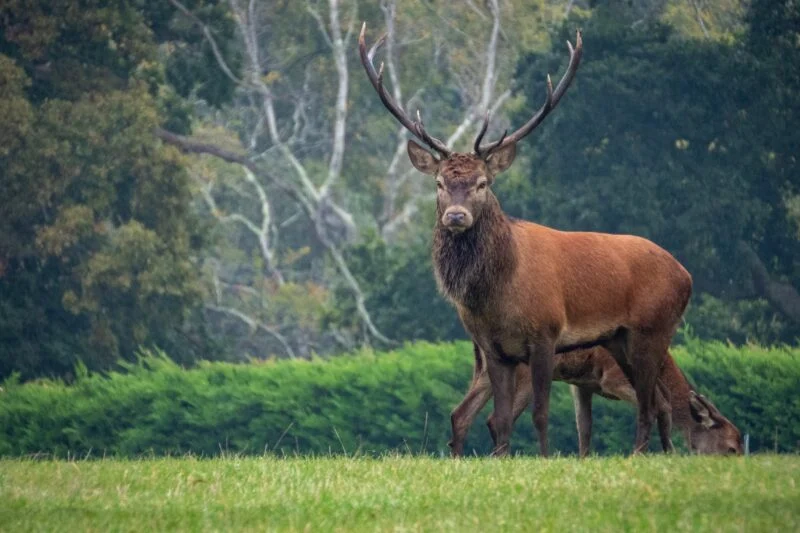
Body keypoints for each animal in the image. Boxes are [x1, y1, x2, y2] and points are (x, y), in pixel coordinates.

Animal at [359, 24, 693, 456]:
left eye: (482, 183)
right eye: (439, 183)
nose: (456, 216)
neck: (497, 295)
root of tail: (686, 275)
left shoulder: (546, 335)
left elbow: (541, 414)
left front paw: (546, 459)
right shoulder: (494, 349)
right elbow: (500, 421)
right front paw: (500, 458)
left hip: (654, 329)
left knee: (651, 402)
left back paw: (642, 455)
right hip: (620, 339)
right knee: (658, 400)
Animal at [449, 343, 743, 457]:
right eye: (731, 448)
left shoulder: (582, 384)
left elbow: (585, 426)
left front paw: (584, 460)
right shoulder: (612, 378)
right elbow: (662, 403)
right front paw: (662, 453)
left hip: (483, 371)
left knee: (460, 413)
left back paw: (459, 459)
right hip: (522, 374)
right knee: (495, 418)